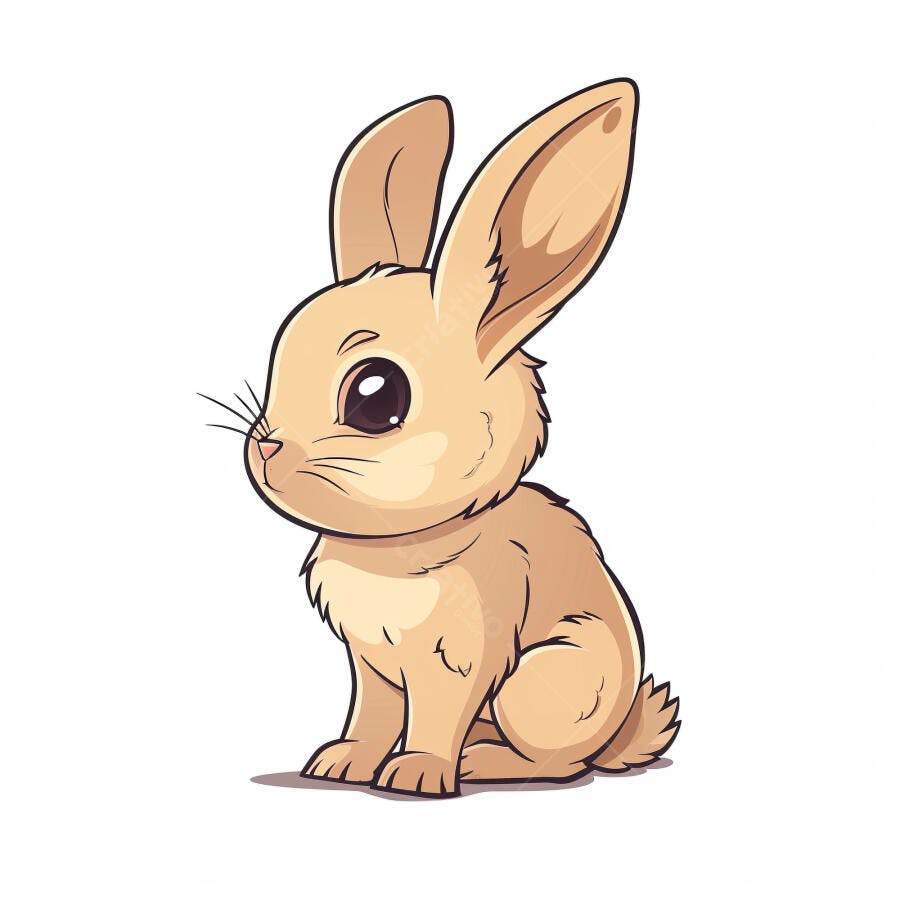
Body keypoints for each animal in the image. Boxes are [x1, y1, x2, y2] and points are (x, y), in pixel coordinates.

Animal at [231, 79, 679, 797]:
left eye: (376, 396)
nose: (266, 448)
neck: (396, 548)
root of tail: (622, 733)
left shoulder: (461, 660)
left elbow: (436, 718)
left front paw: (416, 774)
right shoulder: (371, 663)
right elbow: (371, 714)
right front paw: (341, 763)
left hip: (540, 682)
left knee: (558, 762)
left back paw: (482, 762)